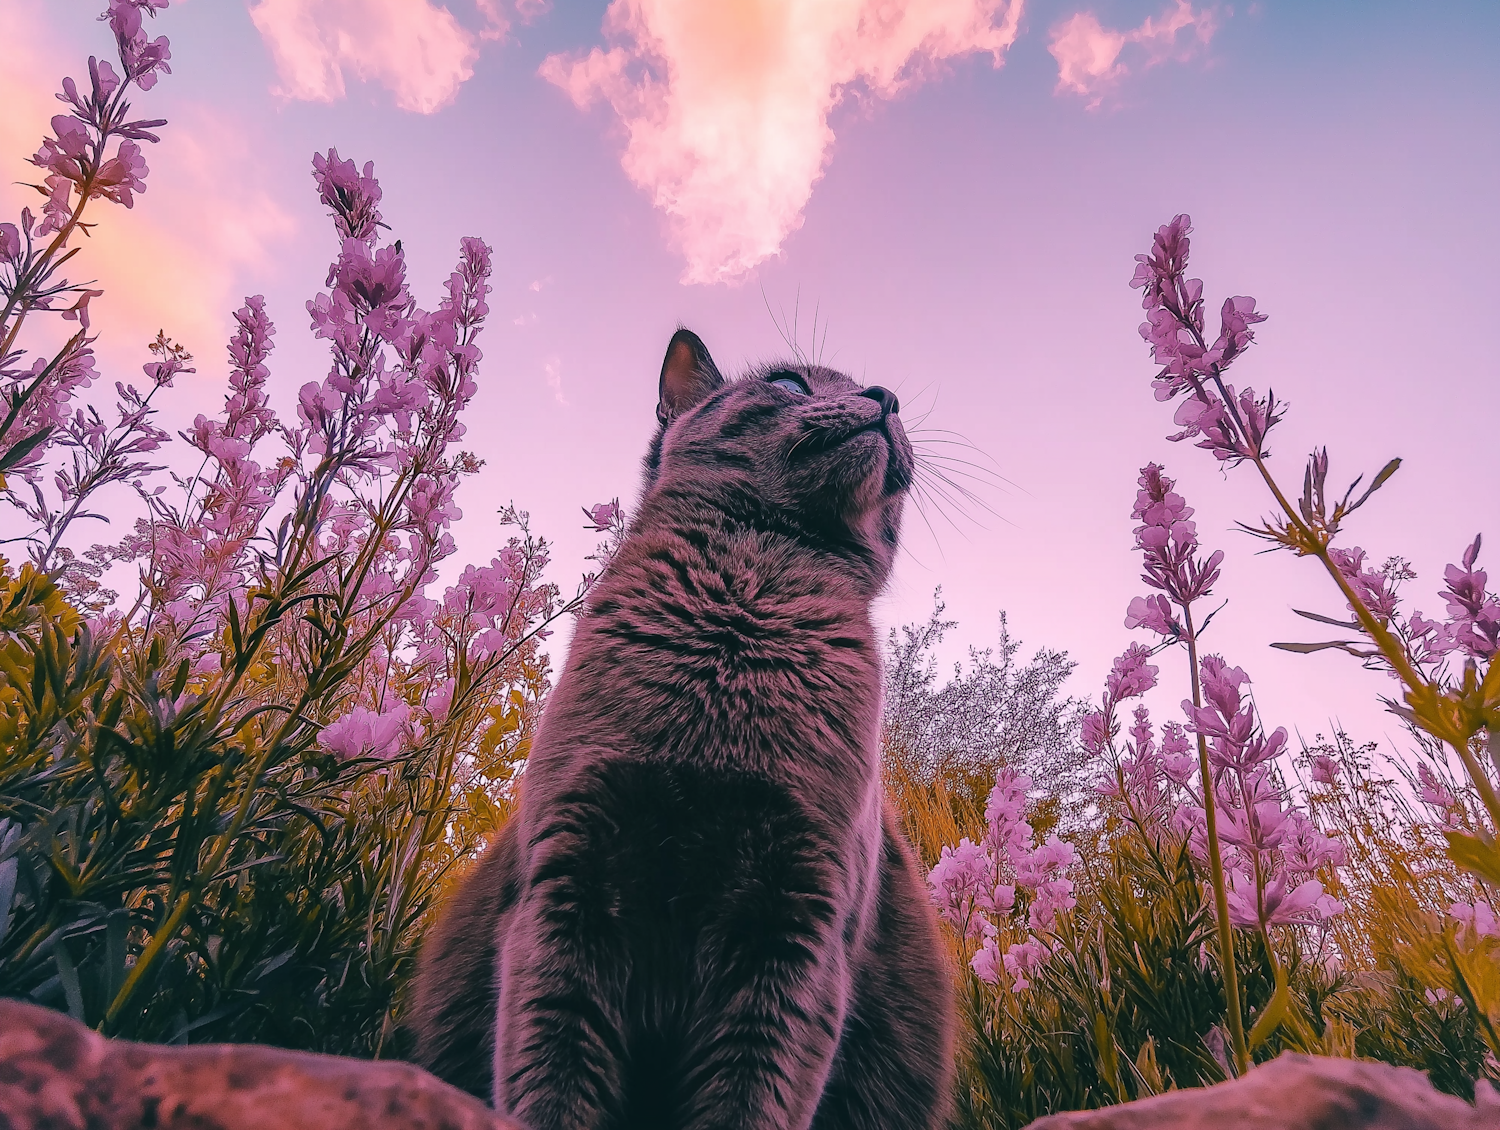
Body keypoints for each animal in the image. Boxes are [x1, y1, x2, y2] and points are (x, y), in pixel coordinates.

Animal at [411, 328, 948, 1128]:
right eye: (788, 384)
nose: (885, 398)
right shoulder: (568, 882)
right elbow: (554, 1079)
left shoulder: (798, 925)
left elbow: (750, 1096)